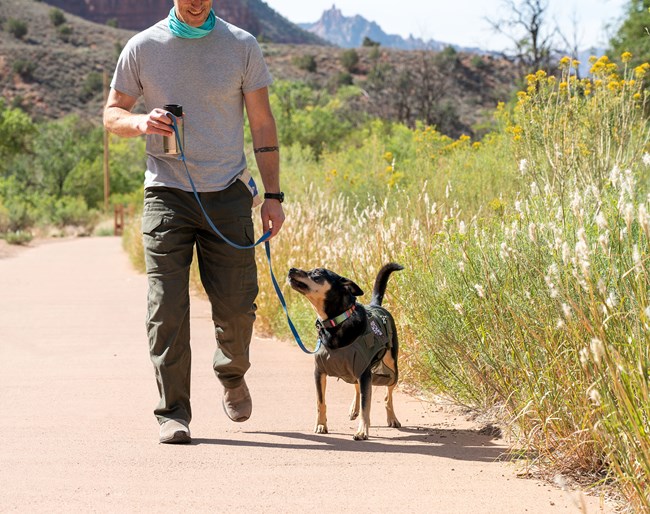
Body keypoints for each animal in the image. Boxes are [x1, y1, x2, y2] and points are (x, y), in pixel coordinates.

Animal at [288, 262, 402, 438]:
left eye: (317, 273)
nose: (291, 269)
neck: (335, 322)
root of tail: (376, 305)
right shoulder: (319, 372)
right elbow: (320, 402)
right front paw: (321, 425)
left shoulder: (364, 372)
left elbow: (366, 405)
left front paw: (362, 431)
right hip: (353, 371)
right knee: (357, 387)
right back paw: (354, 409)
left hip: (391, 368)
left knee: (387, 396)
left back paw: (392, 418)